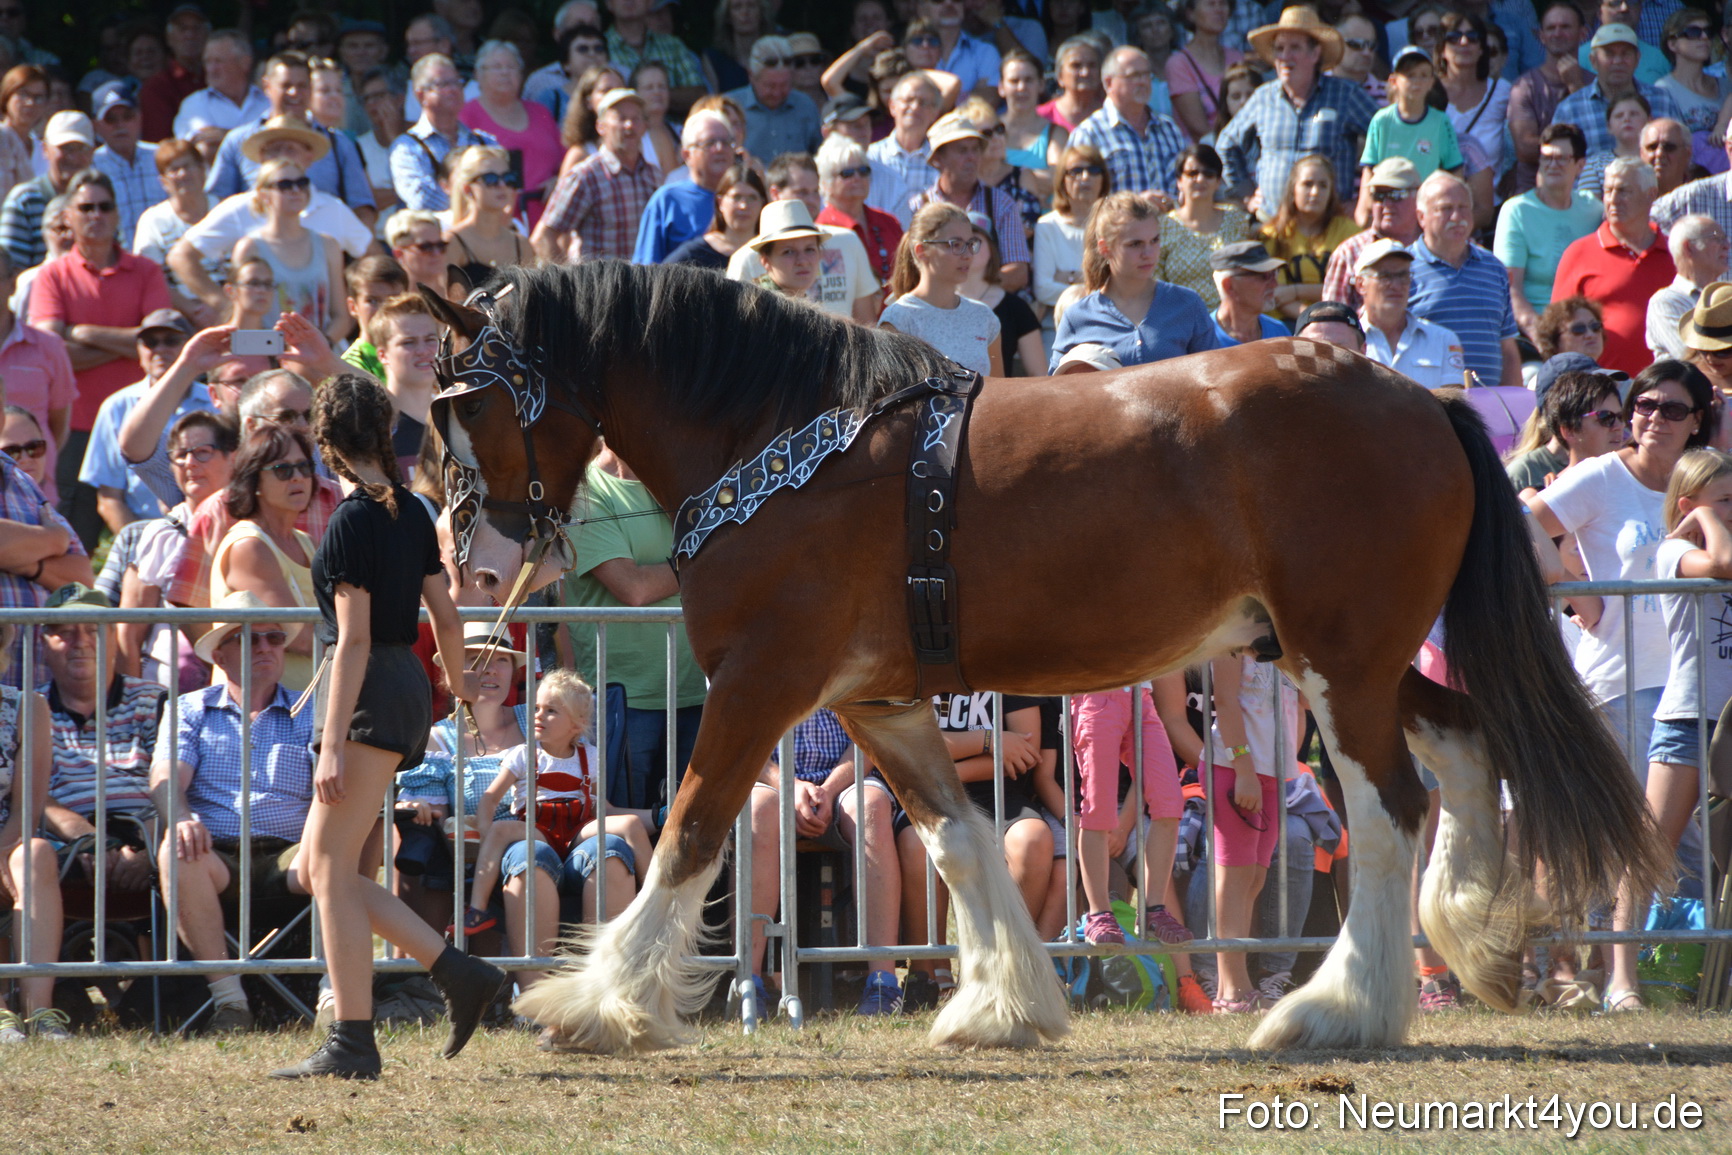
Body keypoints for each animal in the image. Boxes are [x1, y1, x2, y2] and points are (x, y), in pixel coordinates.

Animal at [419, 261, 1666, 1053]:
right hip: (1341, 654)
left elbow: (687, 829)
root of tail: (1419, 398)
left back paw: (1337, 1008)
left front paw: (597, 1001)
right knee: (1459, 744)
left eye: (464, 403)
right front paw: (1004, 1004)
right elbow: (961, 842)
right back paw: (1463, 937)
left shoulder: (763, 683)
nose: (473, 558)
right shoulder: (876, 704)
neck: (784, 439)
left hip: (1338, 661)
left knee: (1393, 802)